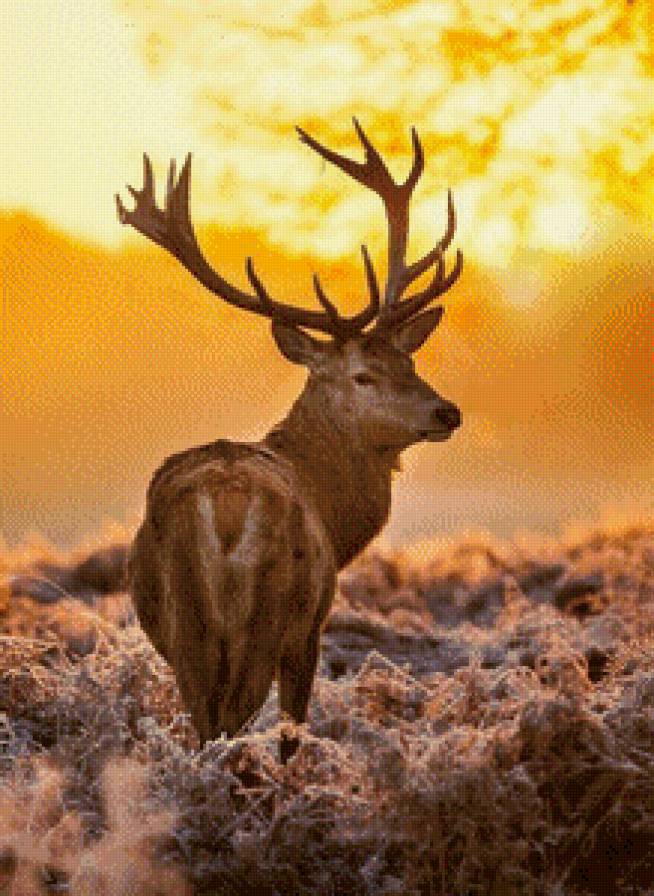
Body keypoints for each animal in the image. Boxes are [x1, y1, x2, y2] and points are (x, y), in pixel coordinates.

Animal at [116, 119, 463, 763]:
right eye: (363, 375)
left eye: (409, 360)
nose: (447, 411)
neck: (335, 513)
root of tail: (223, 507)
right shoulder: (312, 626)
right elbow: (292, 731)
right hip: (268, 617)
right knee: (232, 728)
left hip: (186, 629)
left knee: (205, 728)